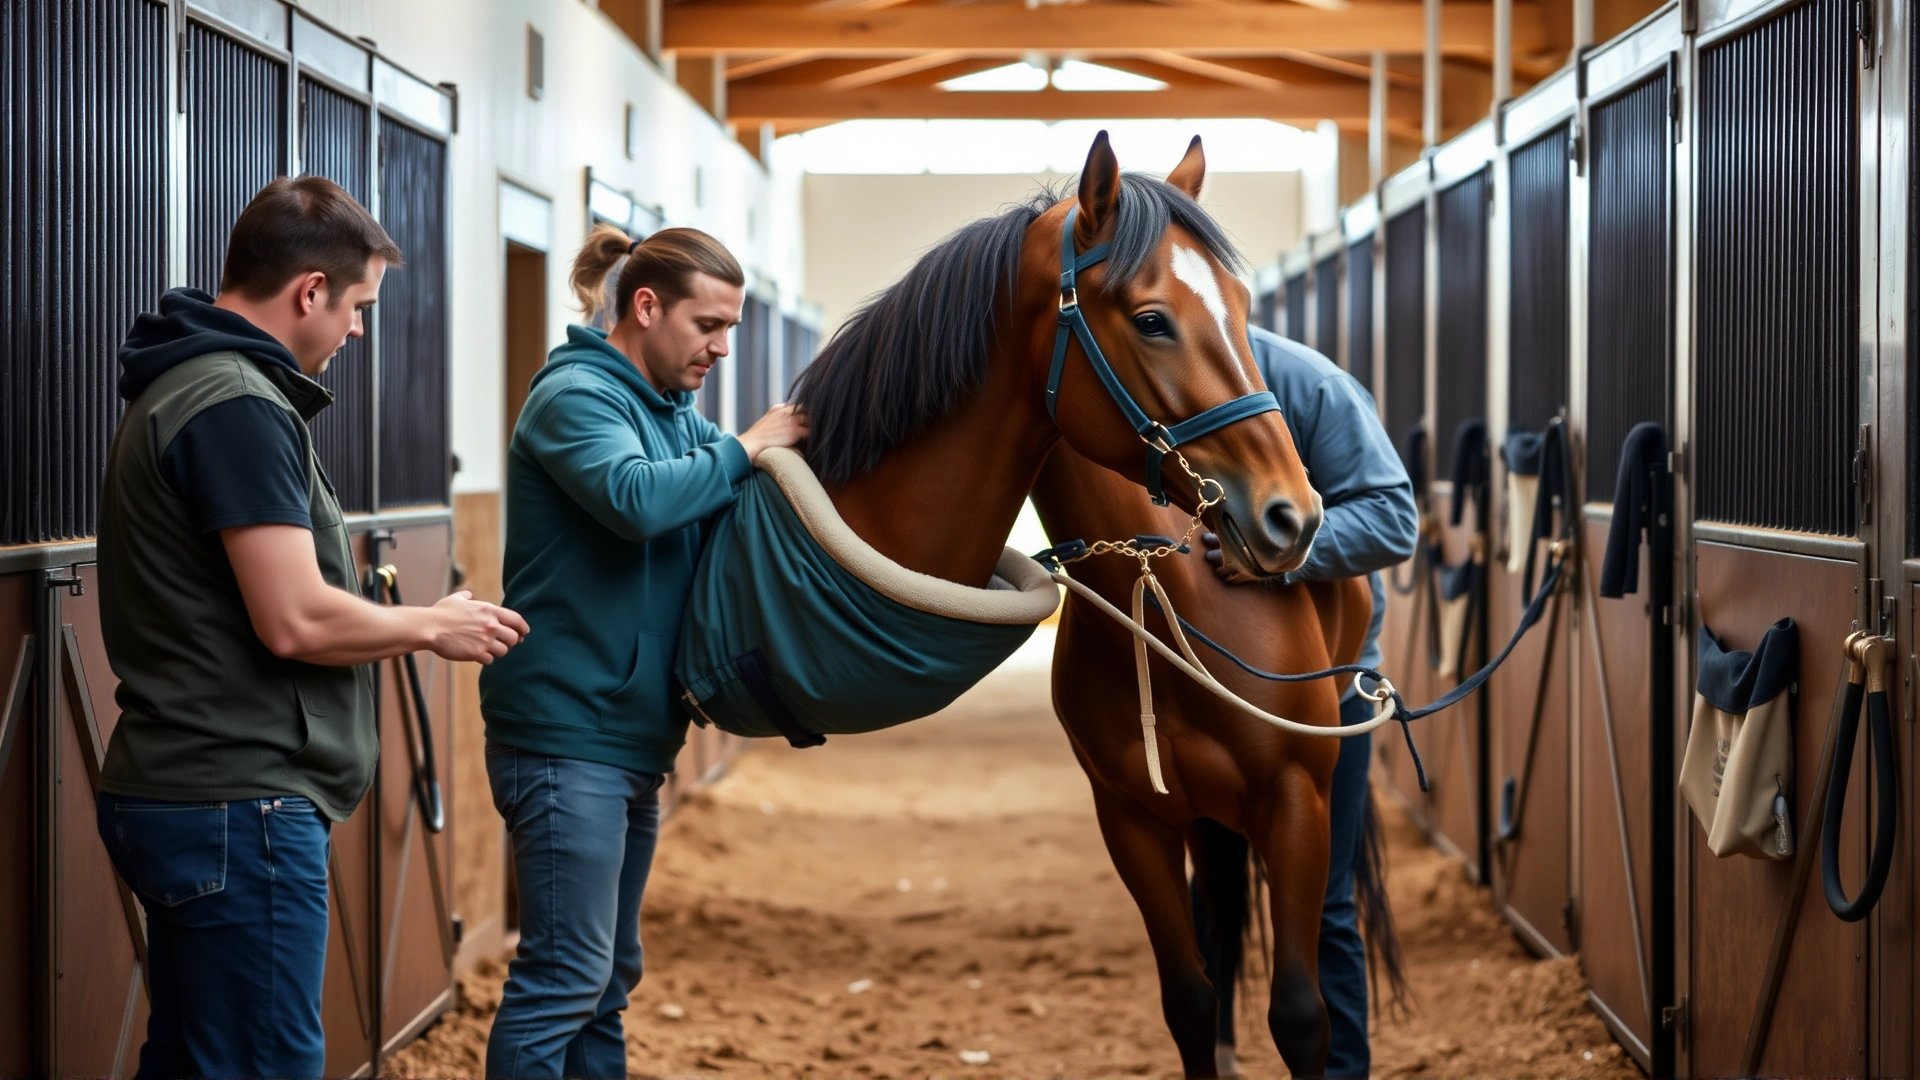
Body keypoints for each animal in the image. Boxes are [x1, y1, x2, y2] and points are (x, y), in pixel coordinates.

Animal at [791, 132, 1369, 1078]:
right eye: (1152, 319)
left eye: (1242, 304)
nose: (1292, 517)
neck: (1168, 593)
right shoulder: (1131, 818)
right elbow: (1189, 999)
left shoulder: (1297, 803)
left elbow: (1303, 1015)